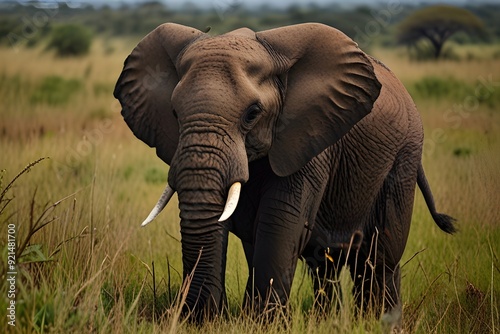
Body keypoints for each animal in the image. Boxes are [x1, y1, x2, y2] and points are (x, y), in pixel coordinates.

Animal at [114, 22, 458, 324]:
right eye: (174, 113)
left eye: (252, 114)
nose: (197, 317)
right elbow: (244, 228)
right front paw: (227, 321)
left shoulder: (310, 139)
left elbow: (279, 224)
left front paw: (264, 324)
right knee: (326, 264)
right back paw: (329, 320)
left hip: (403, 158)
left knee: (379, 258)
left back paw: (377, 320)